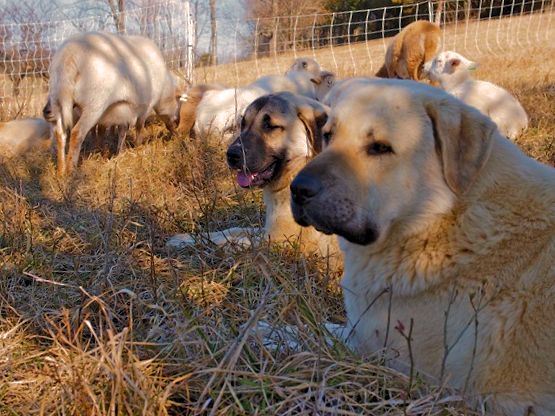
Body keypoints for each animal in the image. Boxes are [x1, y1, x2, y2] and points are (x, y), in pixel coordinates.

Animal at [45, 31, 180, 176]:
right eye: (178, 102)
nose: (177, 125)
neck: (164, 87)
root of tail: (69, 55)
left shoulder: (123, 108)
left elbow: (121, 130)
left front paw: (119, 152)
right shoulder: (145, 105)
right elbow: (139, 127)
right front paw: (138, 147)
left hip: (58, 99)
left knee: (60, 134)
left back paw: (60, 171)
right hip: (94, 103)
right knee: (77, 133)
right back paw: (71, 172)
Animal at [292, 77, 555, 412]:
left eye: (380, 148)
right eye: (328, 135)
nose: (298, 189)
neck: (440, 221)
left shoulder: (379, 353)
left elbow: (306, 332)